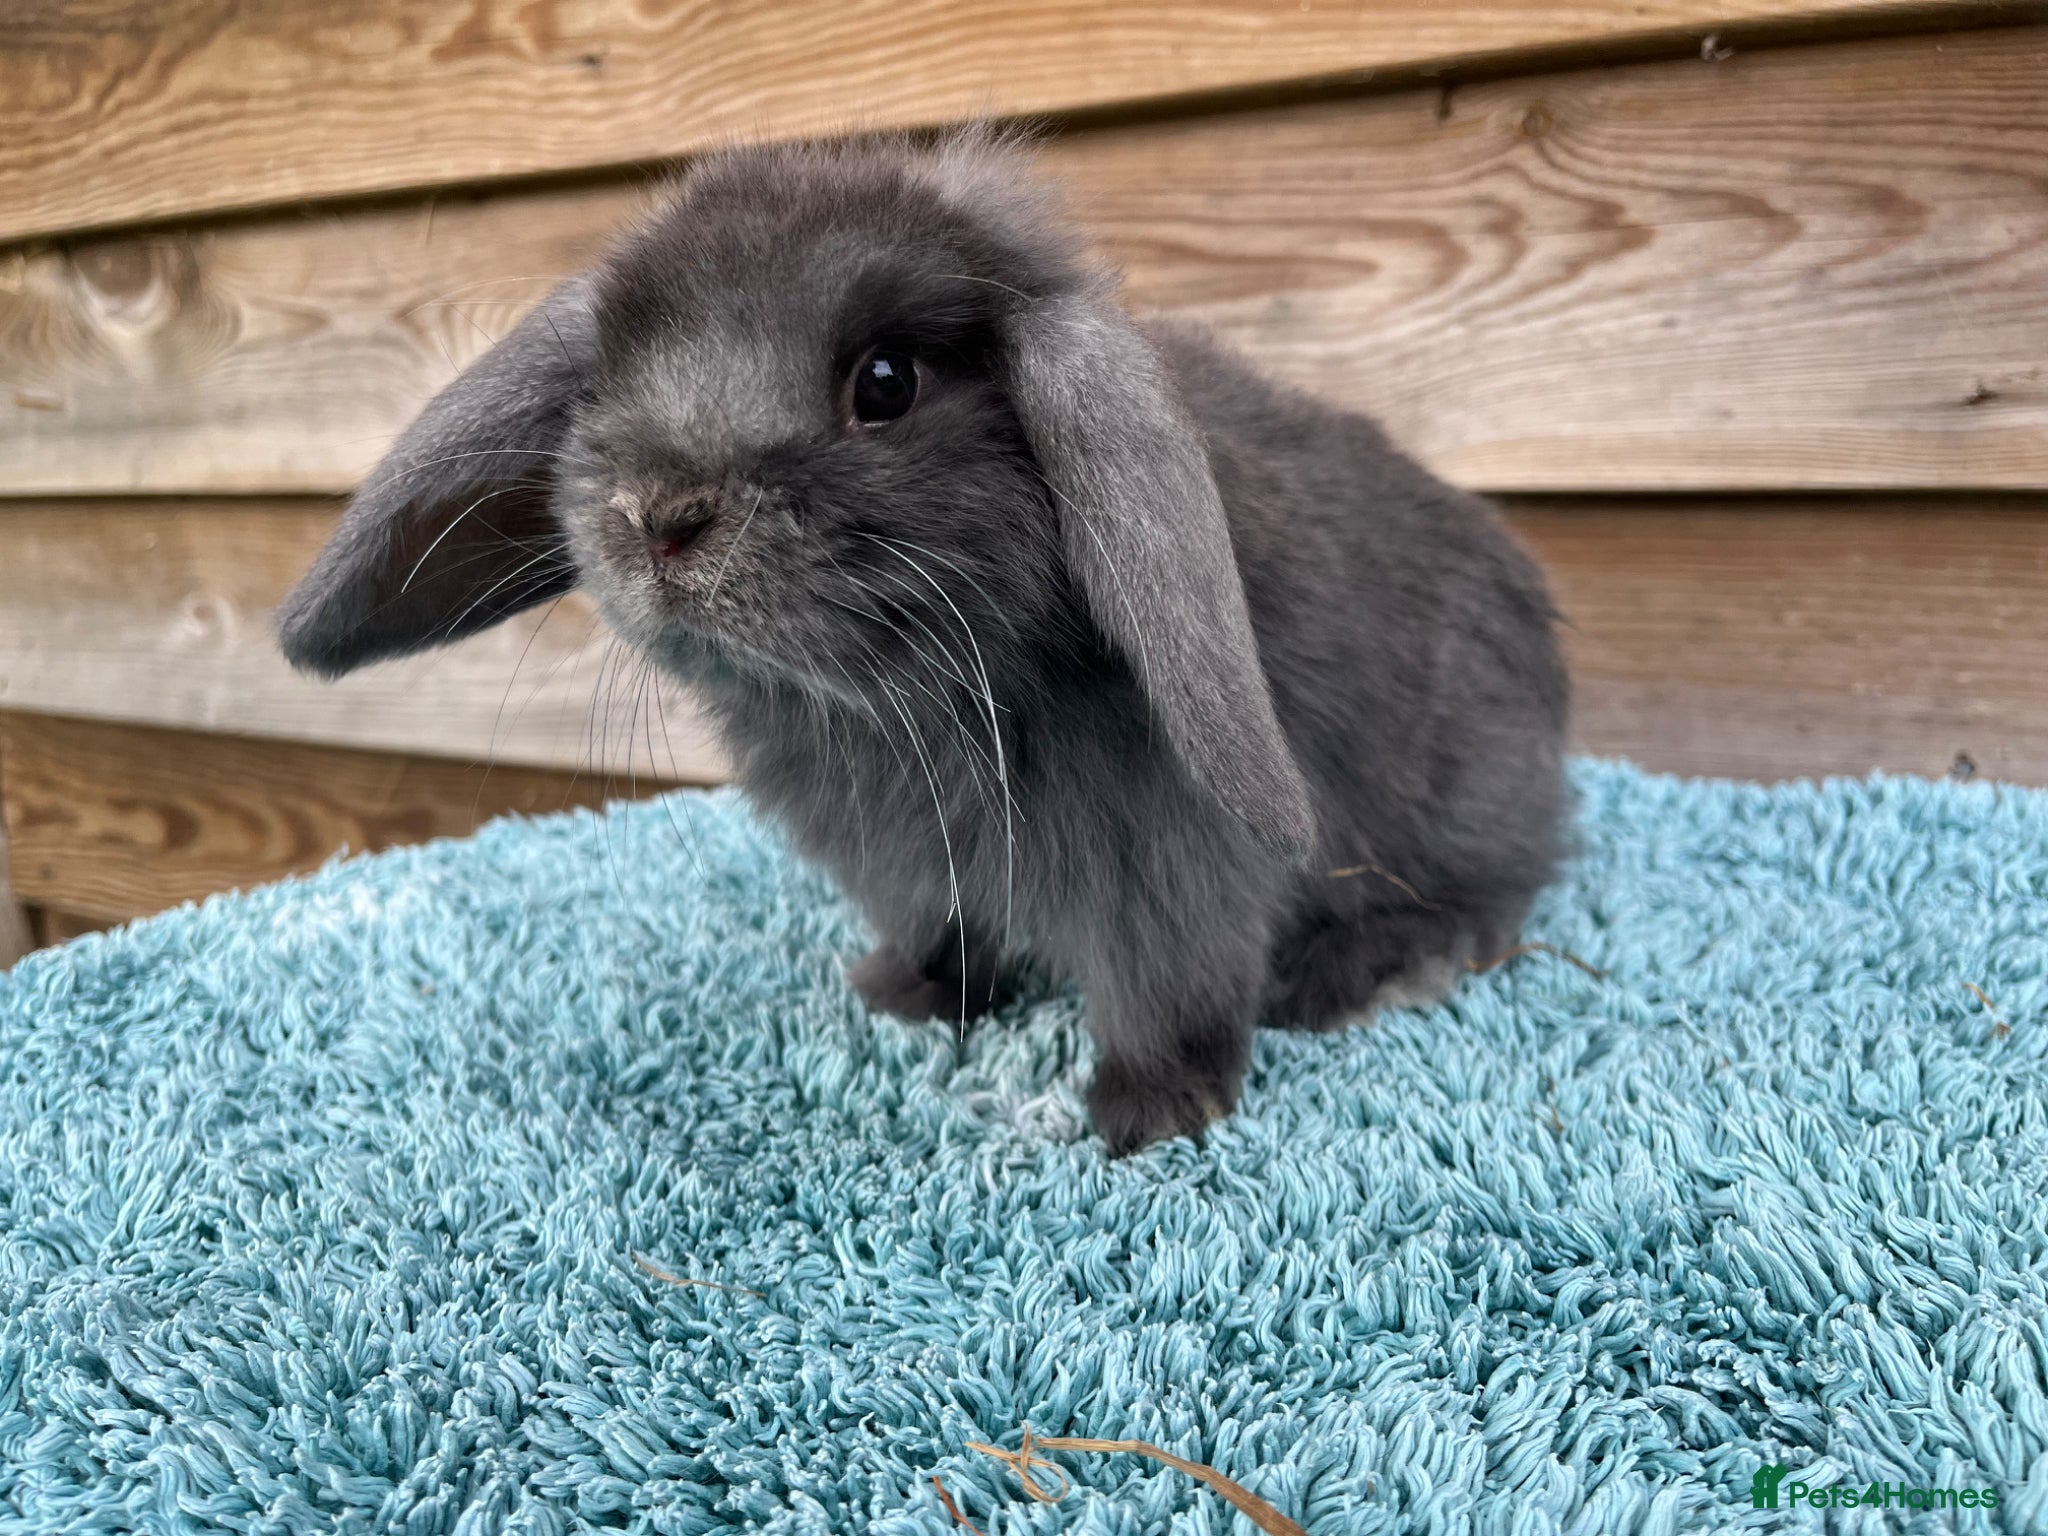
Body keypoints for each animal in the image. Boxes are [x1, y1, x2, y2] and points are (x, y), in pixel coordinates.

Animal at [278, 131, 1570, 1155]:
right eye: (608, 380)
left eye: (886, 381)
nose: (659, 515)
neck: (908, 701)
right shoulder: (911, 873)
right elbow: (942, 935)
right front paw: (901, 995)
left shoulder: (1176, 876)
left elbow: (1171, 991)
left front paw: (1149, 1114)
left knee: (1494, 892)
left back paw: (1356, 973)